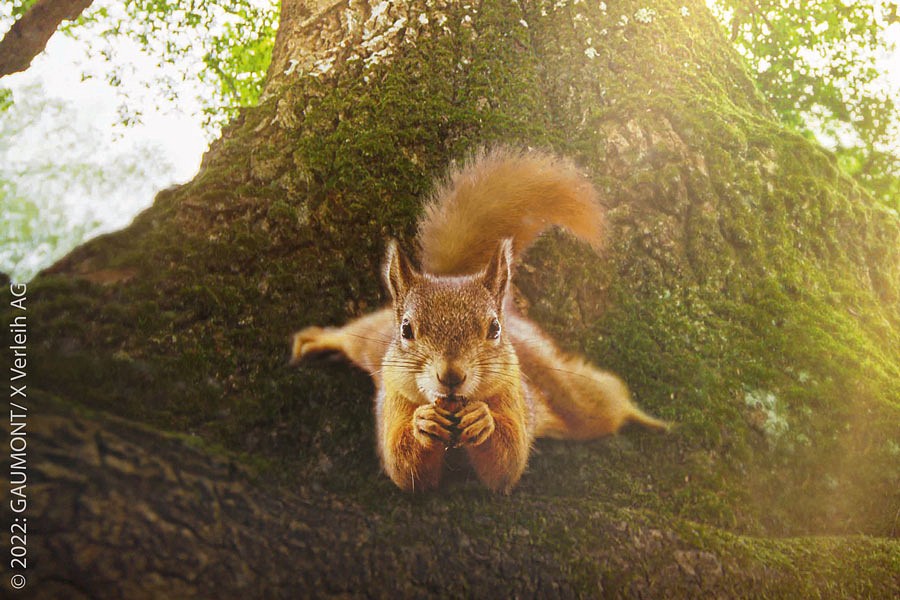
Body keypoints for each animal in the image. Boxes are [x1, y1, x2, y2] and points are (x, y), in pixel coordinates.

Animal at [292, 148, 664, 494]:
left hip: (566, 392)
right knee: (354, 335)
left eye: (494, 329)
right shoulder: (394, 399)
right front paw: (422, 422)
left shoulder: (513, 393)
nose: (451, 376)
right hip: (372, 341)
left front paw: (483, 420)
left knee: (599, 402)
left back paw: (647, 417)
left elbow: (507, 464)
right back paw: (319, 339)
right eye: (407, 330)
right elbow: (405, 469)